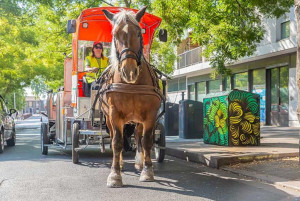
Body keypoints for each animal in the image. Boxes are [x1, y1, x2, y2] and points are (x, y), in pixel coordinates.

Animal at [101, 6, 162, 188]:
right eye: (115, 34)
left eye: (139, 33)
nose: (129, 71)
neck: (131, 84)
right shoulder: (114, 114)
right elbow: (117, 142)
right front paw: (115, 175)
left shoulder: (150, 114)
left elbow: (147, 141)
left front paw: (147, 171)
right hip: (109, 117)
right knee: (114, 137)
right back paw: (120, 162)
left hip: (138, 119)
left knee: (138, 136)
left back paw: (139, 161)